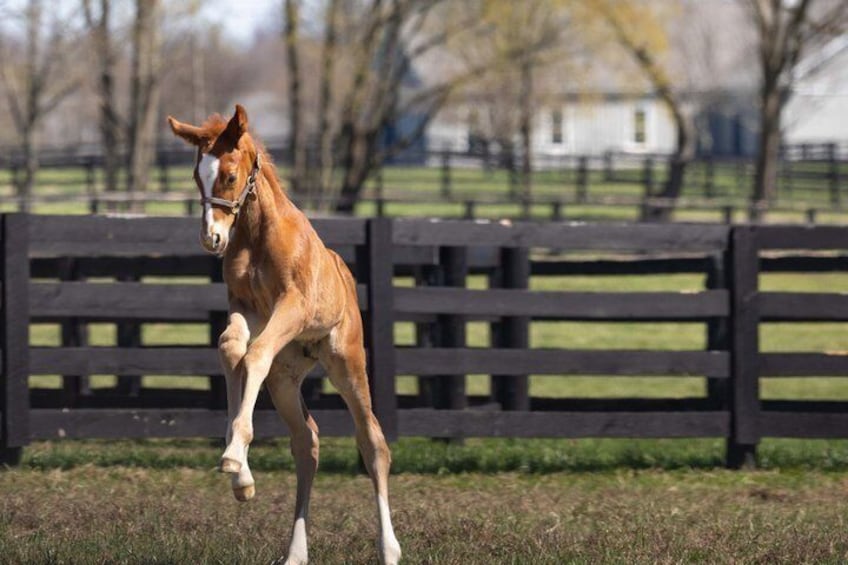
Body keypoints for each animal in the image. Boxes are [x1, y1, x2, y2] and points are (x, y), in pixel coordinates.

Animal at [167, 105, 401, 565]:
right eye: (197, 175)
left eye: (230, 175)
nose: (212, 238)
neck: (258, 235)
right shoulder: (245, 306)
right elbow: (232, 350)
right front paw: (241, 474)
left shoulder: (292, 305)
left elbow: (254, 354)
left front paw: (234, 455)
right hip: (285, 377)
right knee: (306, 444)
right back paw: (295, 552)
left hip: (346, 362)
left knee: (373, 443)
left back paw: (389, 548)